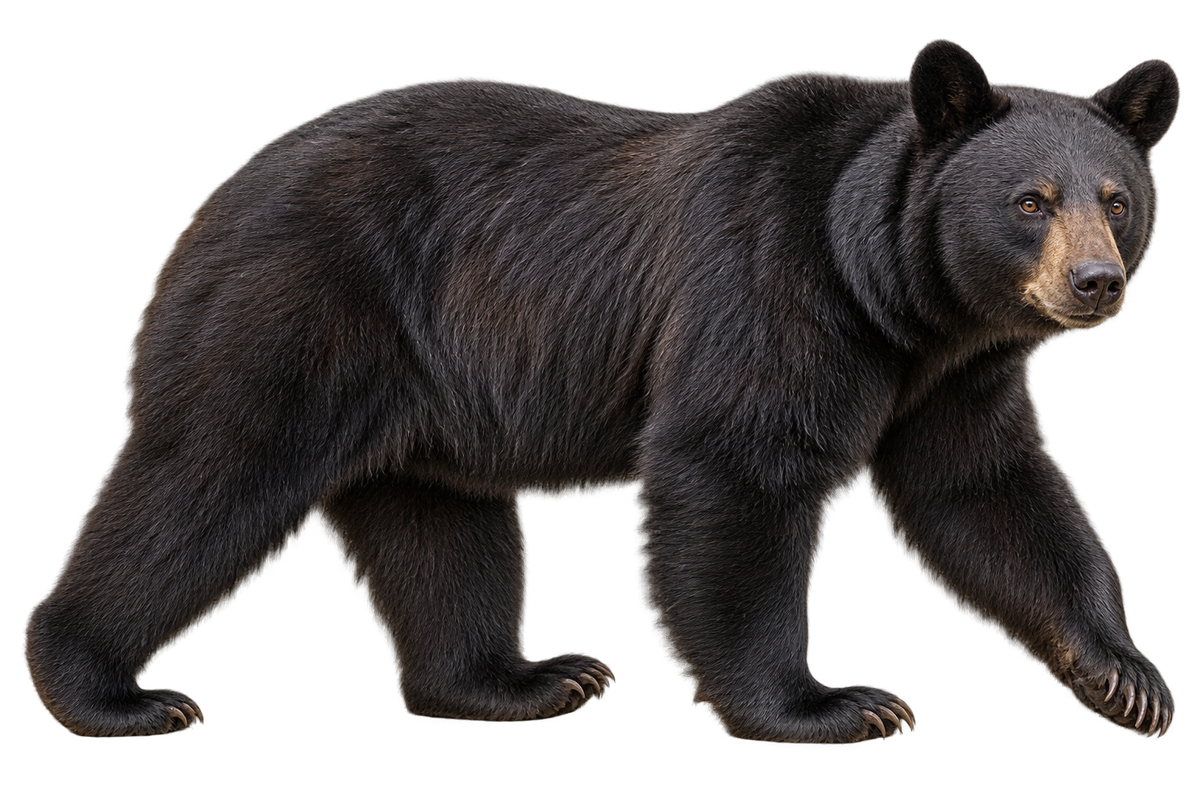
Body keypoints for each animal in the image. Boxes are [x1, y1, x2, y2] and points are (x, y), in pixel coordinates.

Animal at [20, 39, 1182, 745]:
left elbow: (988, 491)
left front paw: (1124, 671)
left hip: (427, 379)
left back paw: (517, 677)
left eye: (1117, 198)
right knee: (207, 471)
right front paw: (834, 702)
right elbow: (734, 469)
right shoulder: (769, 281)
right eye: (1030, 200)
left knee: (441, 526)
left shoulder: (949, 371)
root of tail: (215, 194)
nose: (1095, 283)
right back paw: (110, 689)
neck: (888, 287)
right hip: (296, 306)